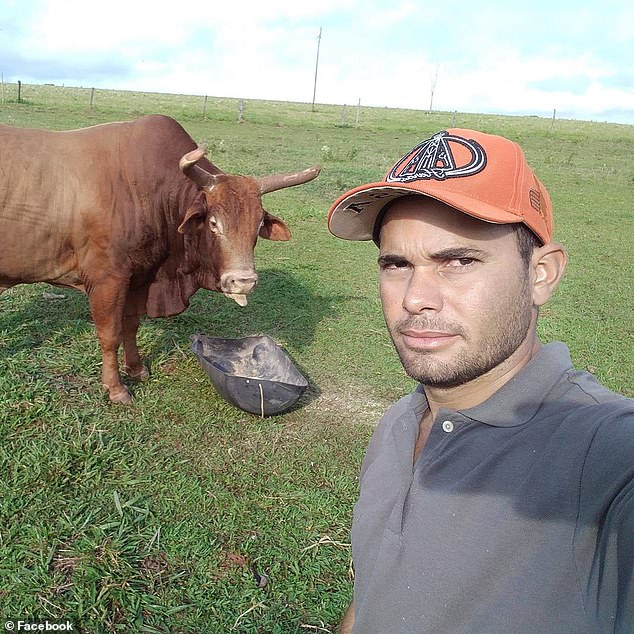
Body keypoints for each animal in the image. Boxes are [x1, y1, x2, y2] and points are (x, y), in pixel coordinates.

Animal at [0, 113, 316, 400]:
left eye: (258, 224)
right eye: (214, 223)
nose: (244, 281)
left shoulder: (137, 277)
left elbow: (130, 325)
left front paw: (136, 368)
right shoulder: (107, 279)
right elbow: (110, 333)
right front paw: (116, 388)